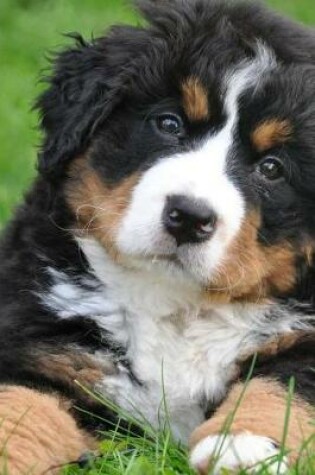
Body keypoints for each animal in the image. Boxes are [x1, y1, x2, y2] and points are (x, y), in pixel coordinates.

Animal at [0, 0, 315, 474]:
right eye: (169, 123)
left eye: (272, 168)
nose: (189, 217)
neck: (176, 305)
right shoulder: (42, 343)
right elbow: (20, 411)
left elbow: (281, 389)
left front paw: (242, 446)